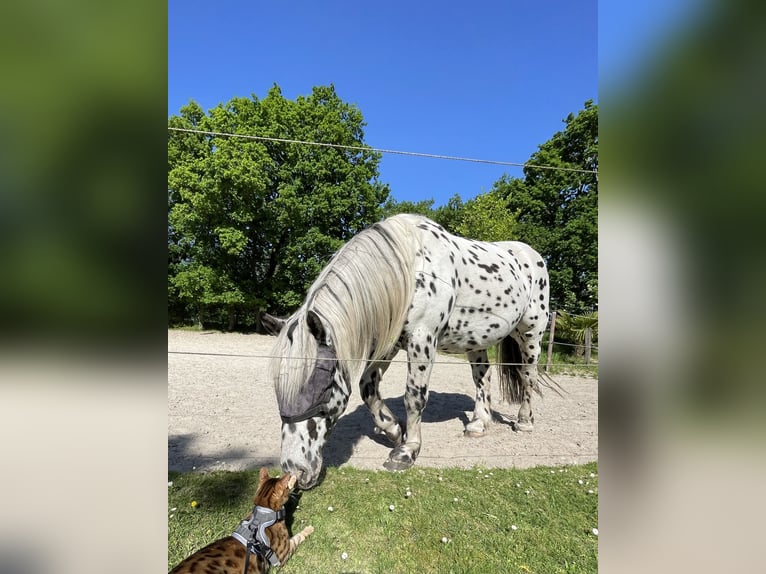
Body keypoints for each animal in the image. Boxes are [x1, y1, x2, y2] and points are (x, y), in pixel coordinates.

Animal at [266, 214, 551, 490]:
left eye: (321, 386)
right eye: (277, 388)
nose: (295, 470)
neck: (410, 269)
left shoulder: (422, 339)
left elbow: (414, 396)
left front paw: (407, 451)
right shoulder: (390, 344)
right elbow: (367, 387)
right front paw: (393, 430)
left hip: (531, 335)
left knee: (528, 377)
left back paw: (524, 422)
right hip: (477, 341)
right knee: (483, 377)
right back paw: (478, 423)